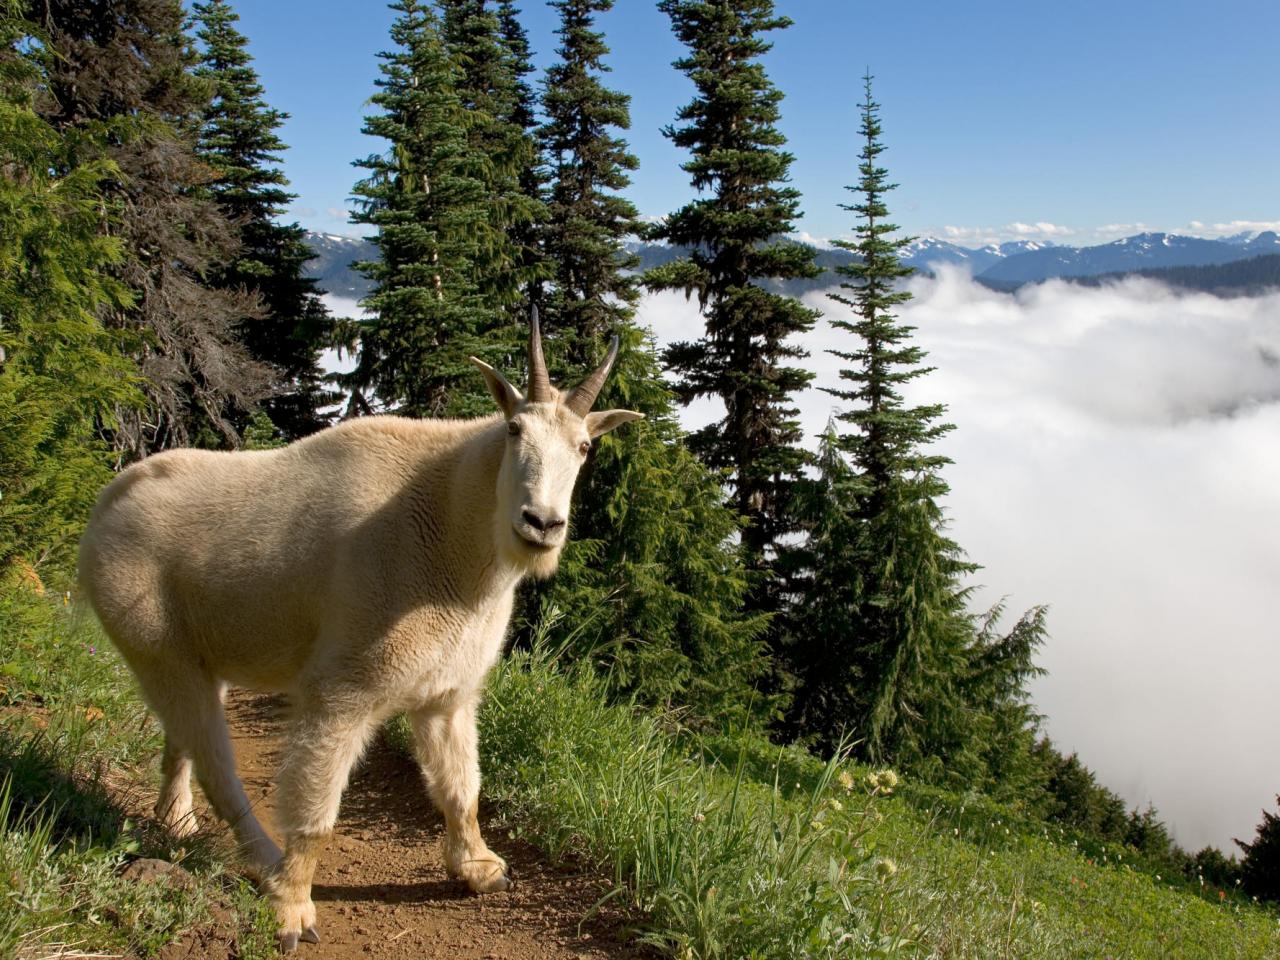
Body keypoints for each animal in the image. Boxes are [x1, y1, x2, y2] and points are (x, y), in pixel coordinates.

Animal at [78, 317, 640, 957]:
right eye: (514, 428)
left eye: (585, 447)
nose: (542, 524)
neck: (458, 532)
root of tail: (107, 503)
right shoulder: (343, 690)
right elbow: (317, 813)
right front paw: (292, 911)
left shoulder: (447, 695)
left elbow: (462, 789)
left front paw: (480, 869)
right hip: (153, 644)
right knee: (215, 761)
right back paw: (264, 864)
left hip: (202, 652)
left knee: (183, 739)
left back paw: (175, 822)